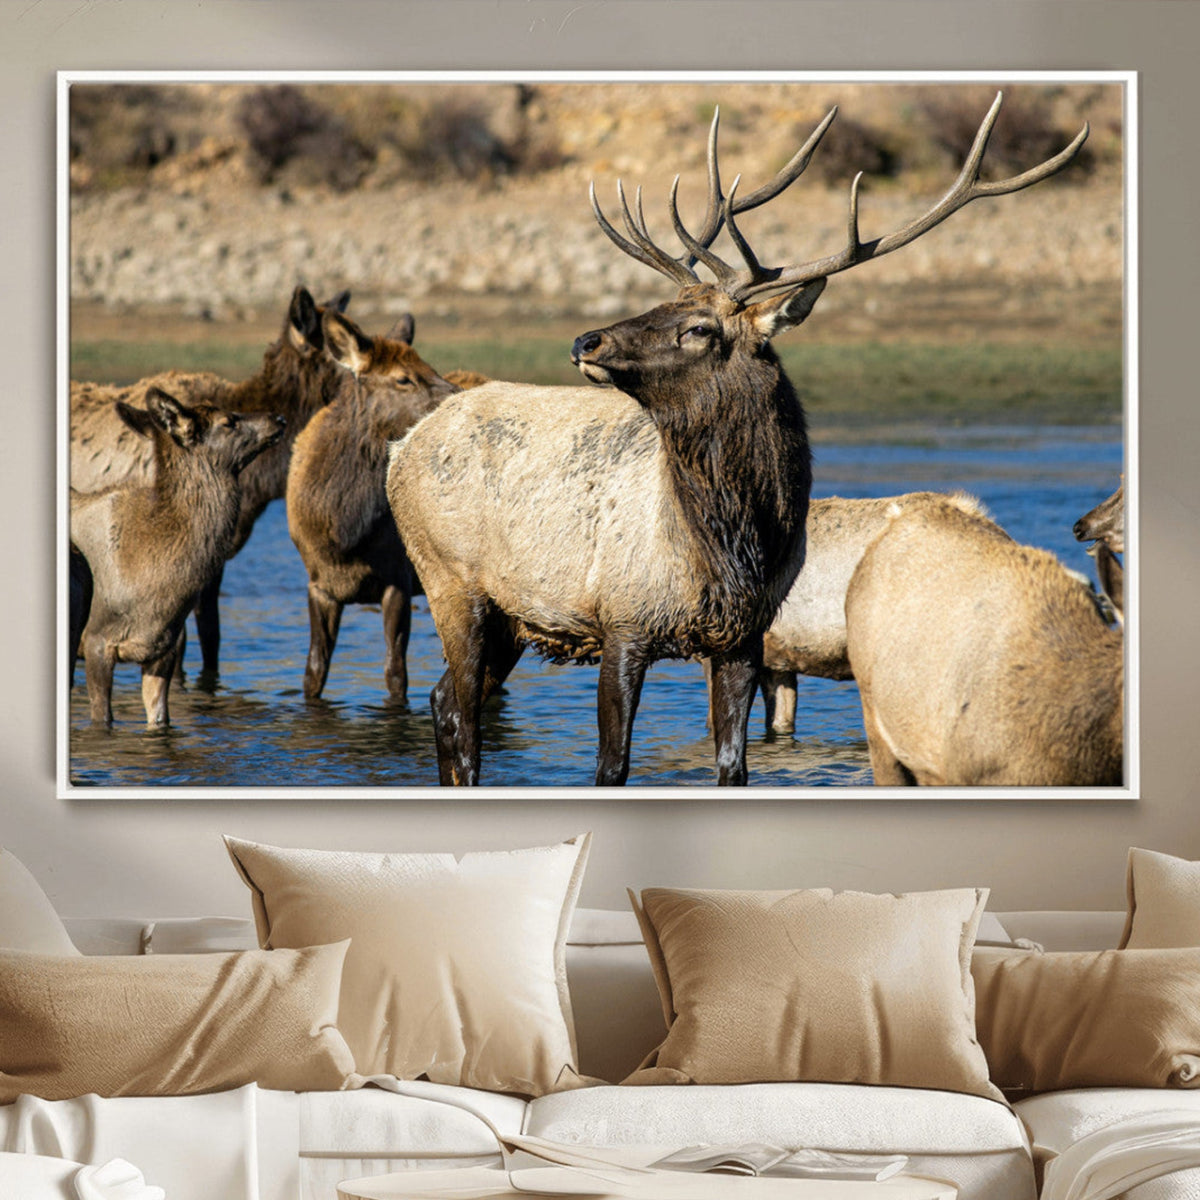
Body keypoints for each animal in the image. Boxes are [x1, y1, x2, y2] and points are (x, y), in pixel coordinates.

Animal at [70, 387, 284, 727]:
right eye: (228, 421)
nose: (278, 418)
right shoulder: (96, 641)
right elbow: (102, 719)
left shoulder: (163, 648)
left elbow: (160, 719)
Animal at [286, 309, 458, 702]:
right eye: (403, 378)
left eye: (431, 367)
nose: (459, 396)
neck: (344, 532)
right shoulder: (317, 584)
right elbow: (313, 672)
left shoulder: (398, 579)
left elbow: (396, 674)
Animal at [386, 93, 1089, 788]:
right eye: (662, 304)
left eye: (698, 326)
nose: (586, 340)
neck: (731, 549)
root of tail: (405, 445)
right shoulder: (624, 619)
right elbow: (611, 766)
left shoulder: (746, 638)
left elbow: (734, 766)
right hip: (450, 580)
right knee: (460, 715)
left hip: (507, 615)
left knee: (445, 700)